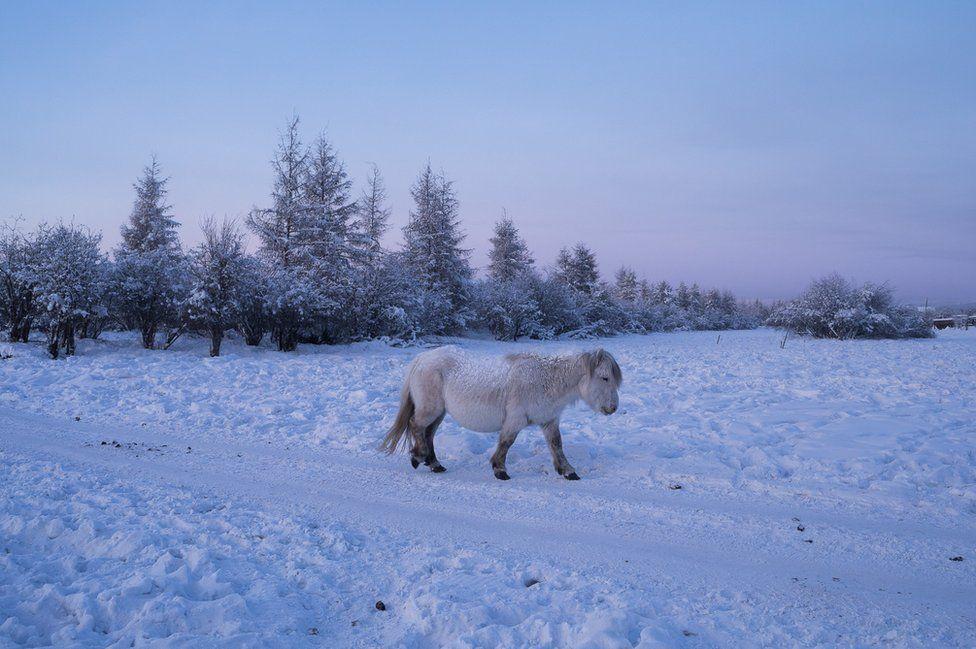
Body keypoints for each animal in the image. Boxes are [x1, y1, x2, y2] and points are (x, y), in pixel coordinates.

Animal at [378, 346, 620, 478]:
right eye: (605, 378)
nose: (613, 408)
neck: (544, 380)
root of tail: (422, 359)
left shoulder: (549, 420)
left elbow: (557, 445)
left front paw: (568, 471)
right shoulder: (515, 420)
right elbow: (506, 443)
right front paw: (500, 470)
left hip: (440, 413)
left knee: (428, 434)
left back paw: (434, 463)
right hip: (431, 409)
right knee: (416, 426)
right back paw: (418, 457)